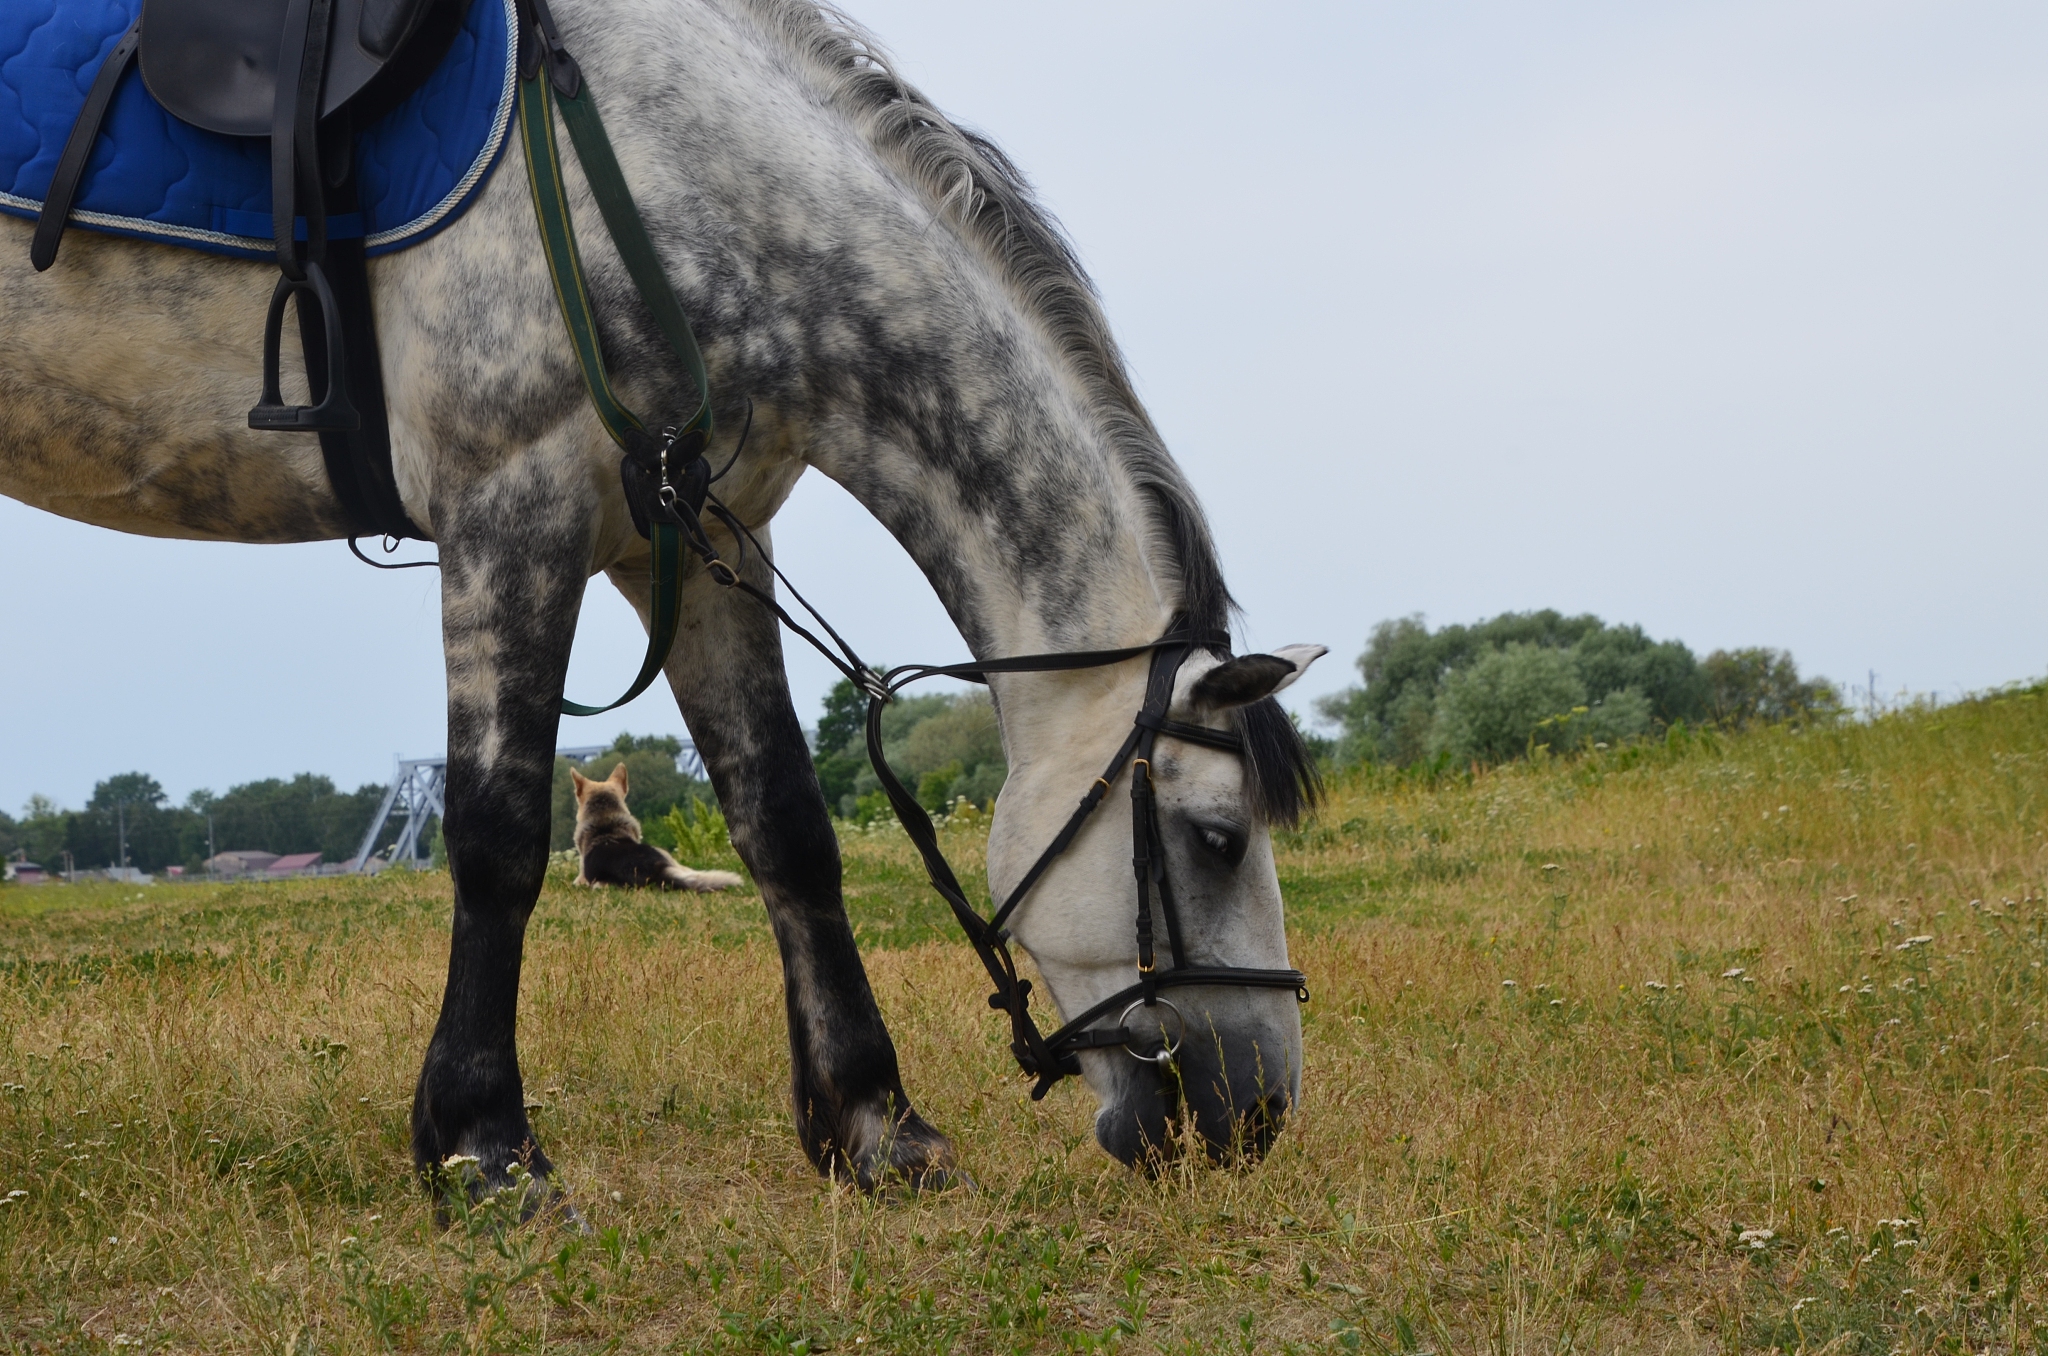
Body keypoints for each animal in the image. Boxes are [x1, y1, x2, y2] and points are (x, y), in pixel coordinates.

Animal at [0, 0, 1325, 1192]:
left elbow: (786, 825)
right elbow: (494, 837)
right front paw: (484, 1144)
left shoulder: (690, 540)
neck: (649, 171)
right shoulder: (510, 510)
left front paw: (873, 1125)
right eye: (1215, 838)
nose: (1261, 1114)